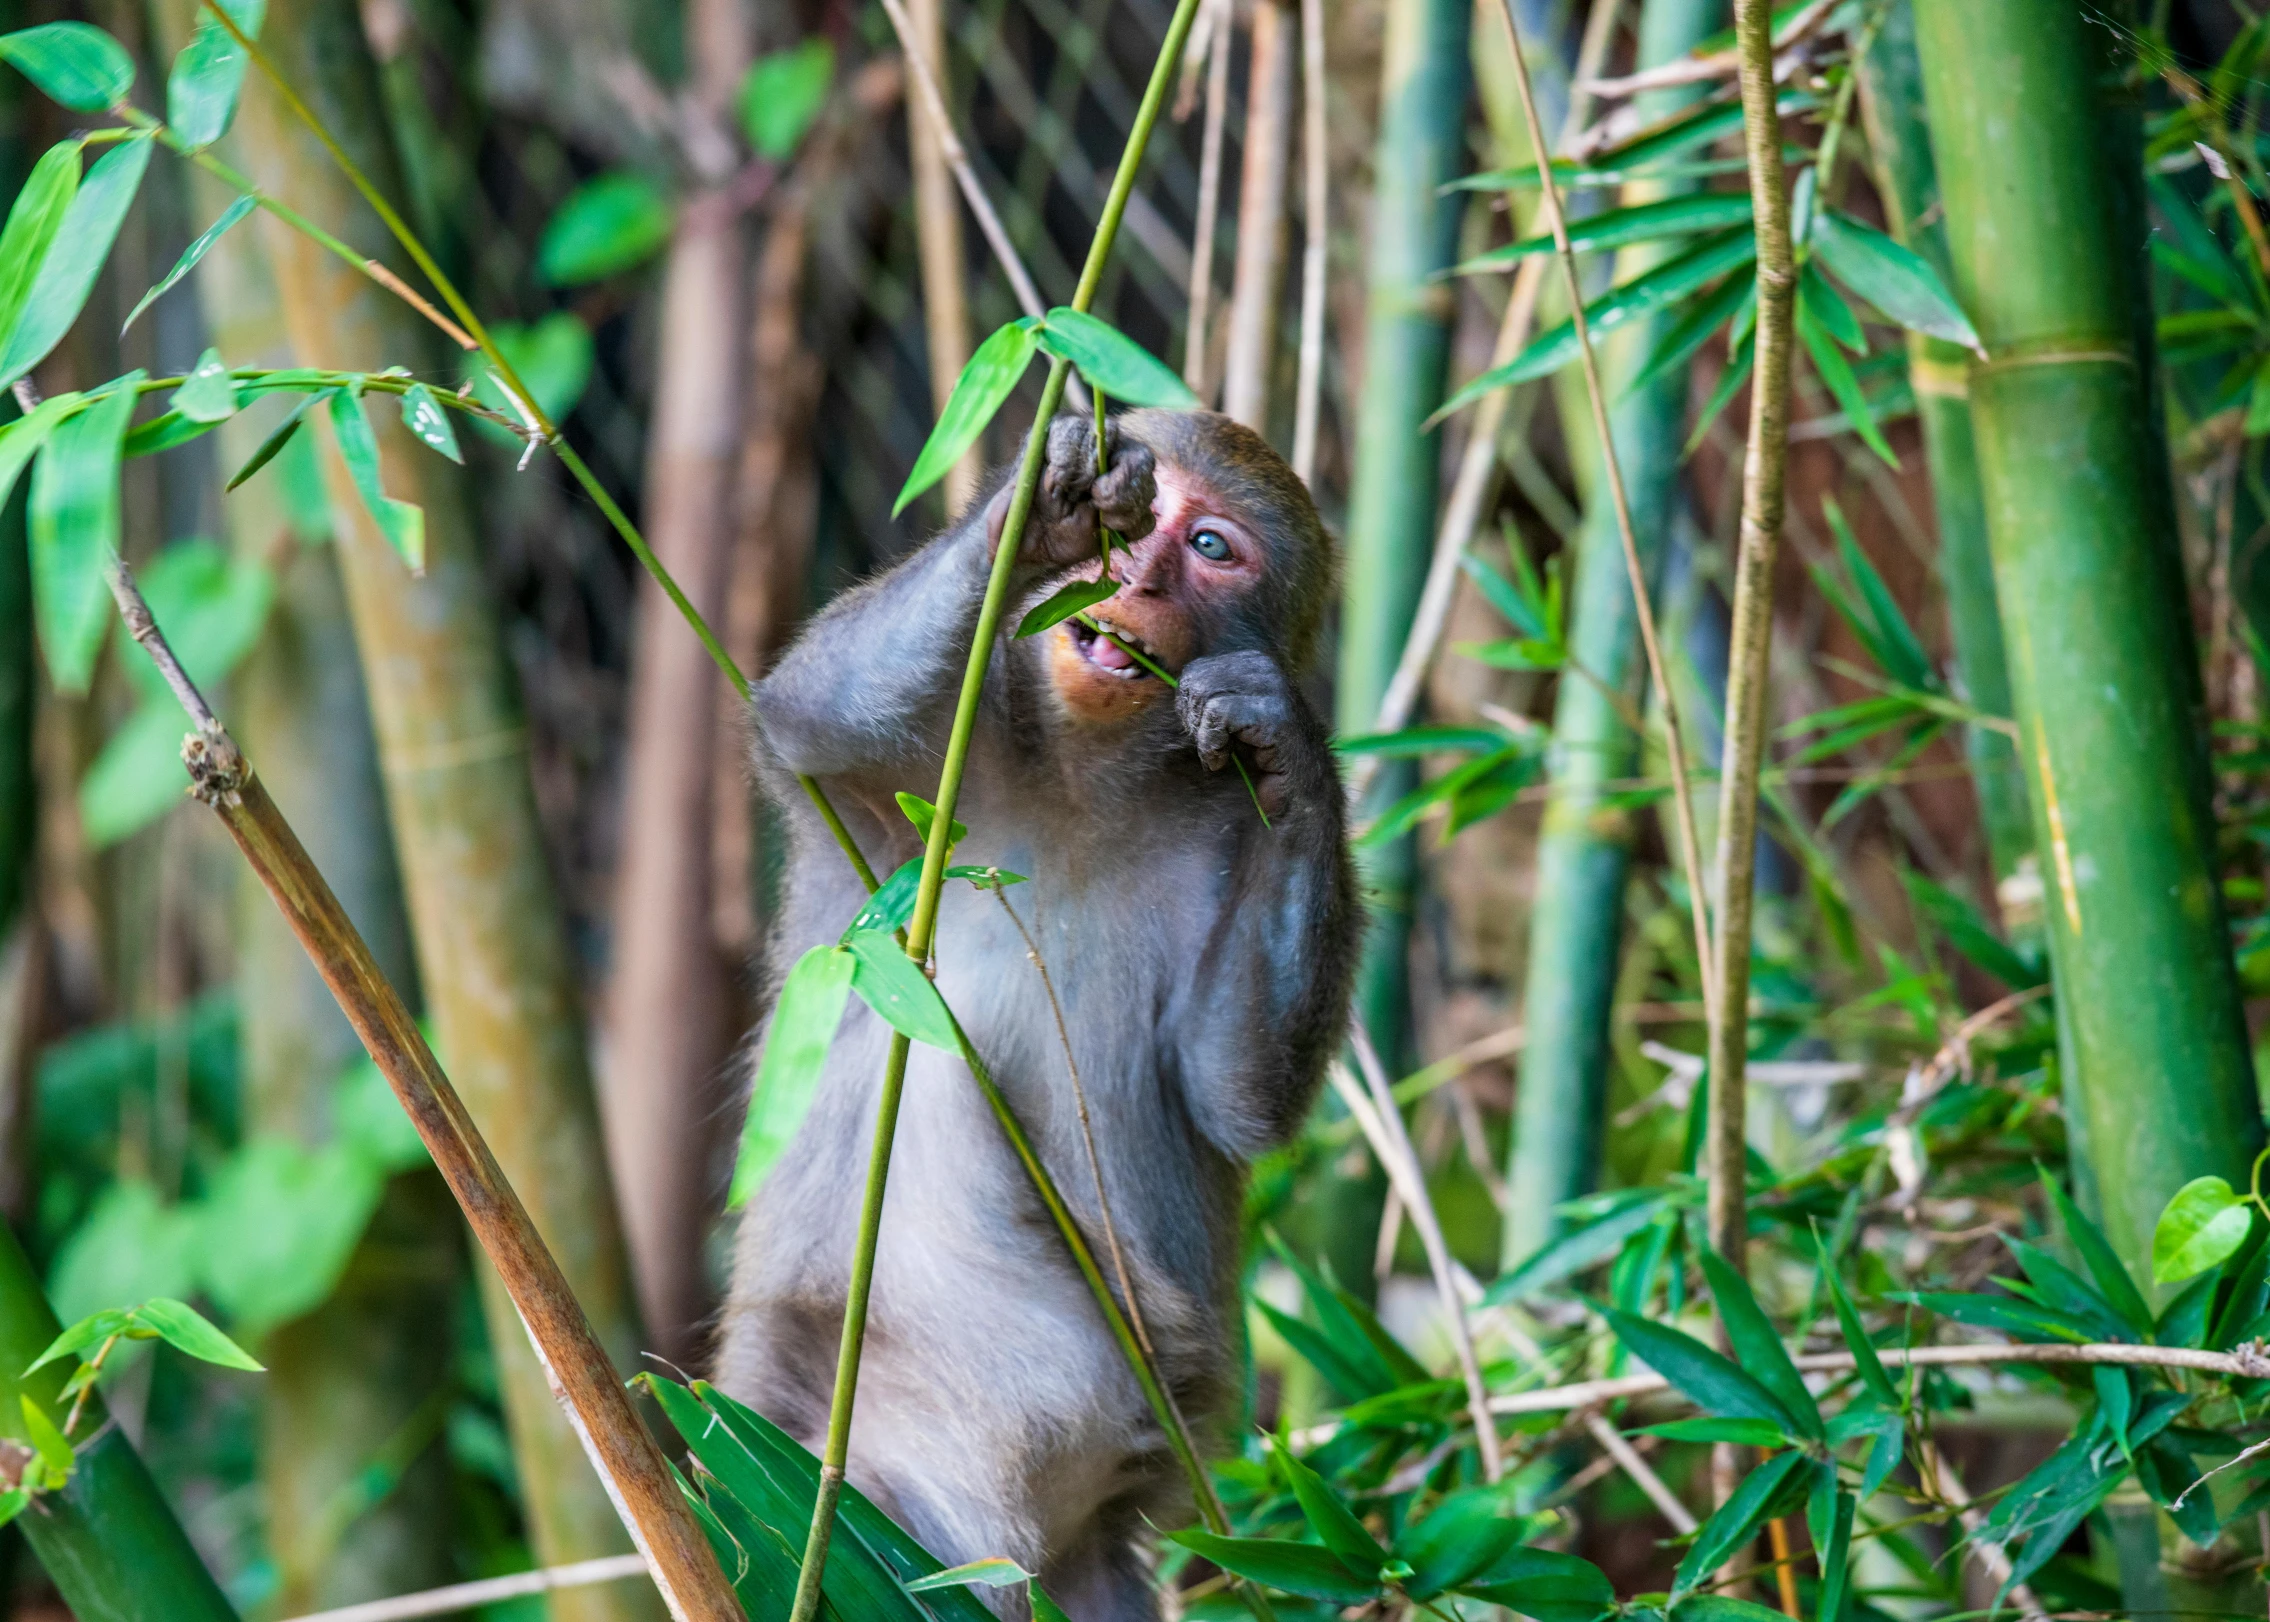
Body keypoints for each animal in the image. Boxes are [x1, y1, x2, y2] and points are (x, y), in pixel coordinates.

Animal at [712, 406, 1343, 1622]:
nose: (1137, 574)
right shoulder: (900, 788)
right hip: (802, 1479)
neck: (1080, 776)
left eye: (1210, 548)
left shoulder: (1226, 826)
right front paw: (1047, 495)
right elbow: (809, 711)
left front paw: (1284, 739)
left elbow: (1233, 1089)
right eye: (1147, 518)